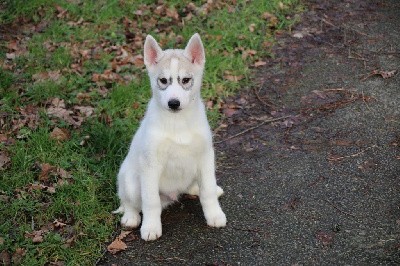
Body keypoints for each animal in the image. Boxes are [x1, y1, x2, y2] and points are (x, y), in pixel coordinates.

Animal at [114, 33, 227, 241]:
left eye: (186, 80)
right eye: (163, 80)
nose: (173, 103)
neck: (178, 123)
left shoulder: (206, 156)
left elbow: (207, 190)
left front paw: (214, 214)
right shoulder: (150, 165)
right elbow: (150, 202)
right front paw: (150, 227)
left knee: (196, 186)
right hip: (130, 182)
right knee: (129, 202)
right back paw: (131, 217)